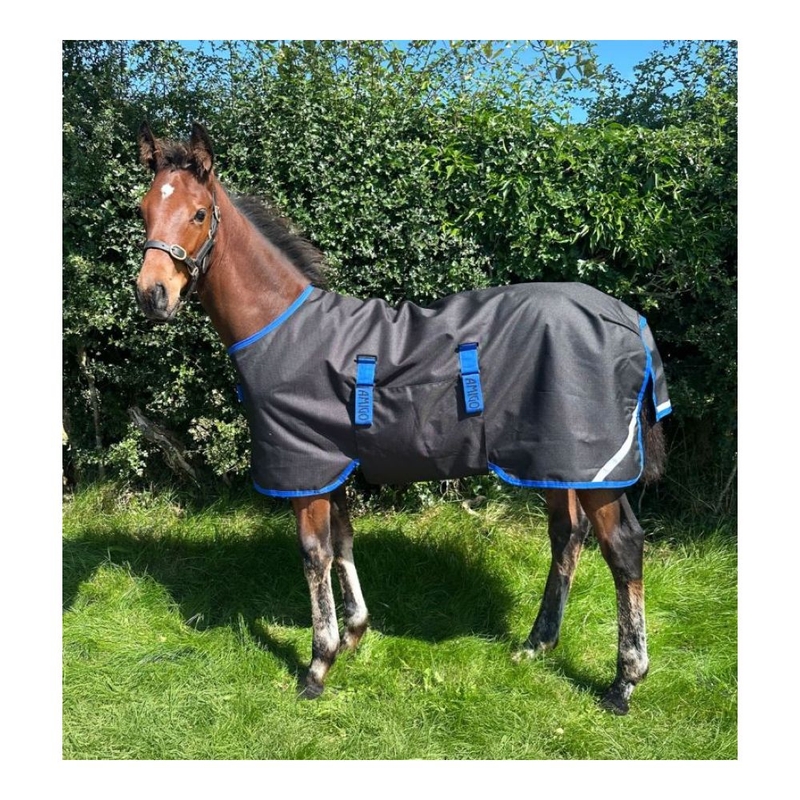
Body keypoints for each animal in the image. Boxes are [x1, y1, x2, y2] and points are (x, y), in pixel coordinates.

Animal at [135, 122, 671, 715]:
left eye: (198, 213)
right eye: (143, 209)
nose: (152, 295)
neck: (282, 327)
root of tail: (627, 317)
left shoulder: (306, 468)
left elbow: (315, 554)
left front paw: (318, 664)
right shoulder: (333, 465)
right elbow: (343, 541)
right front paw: (353, 633)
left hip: (598, 468)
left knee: (622, 549)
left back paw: (624, 680)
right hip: (552, 461)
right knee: (567, 535)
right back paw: (537, 644)